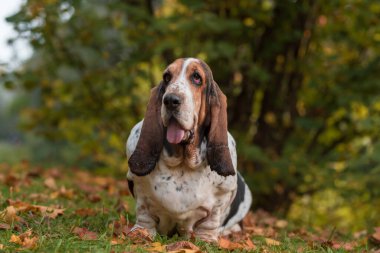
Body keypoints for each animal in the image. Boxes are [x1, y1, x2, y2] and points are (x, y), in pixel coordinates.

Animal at [127, 57, 252, 241]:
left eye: (197, 78)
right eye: (166, 77)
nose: (170, 100)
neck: (182, 163)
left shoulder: (222, 196)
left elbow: (211, 220)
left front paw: (206, 239)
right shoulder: (139, 187)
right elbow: (144, 212)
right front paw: (141, 232)